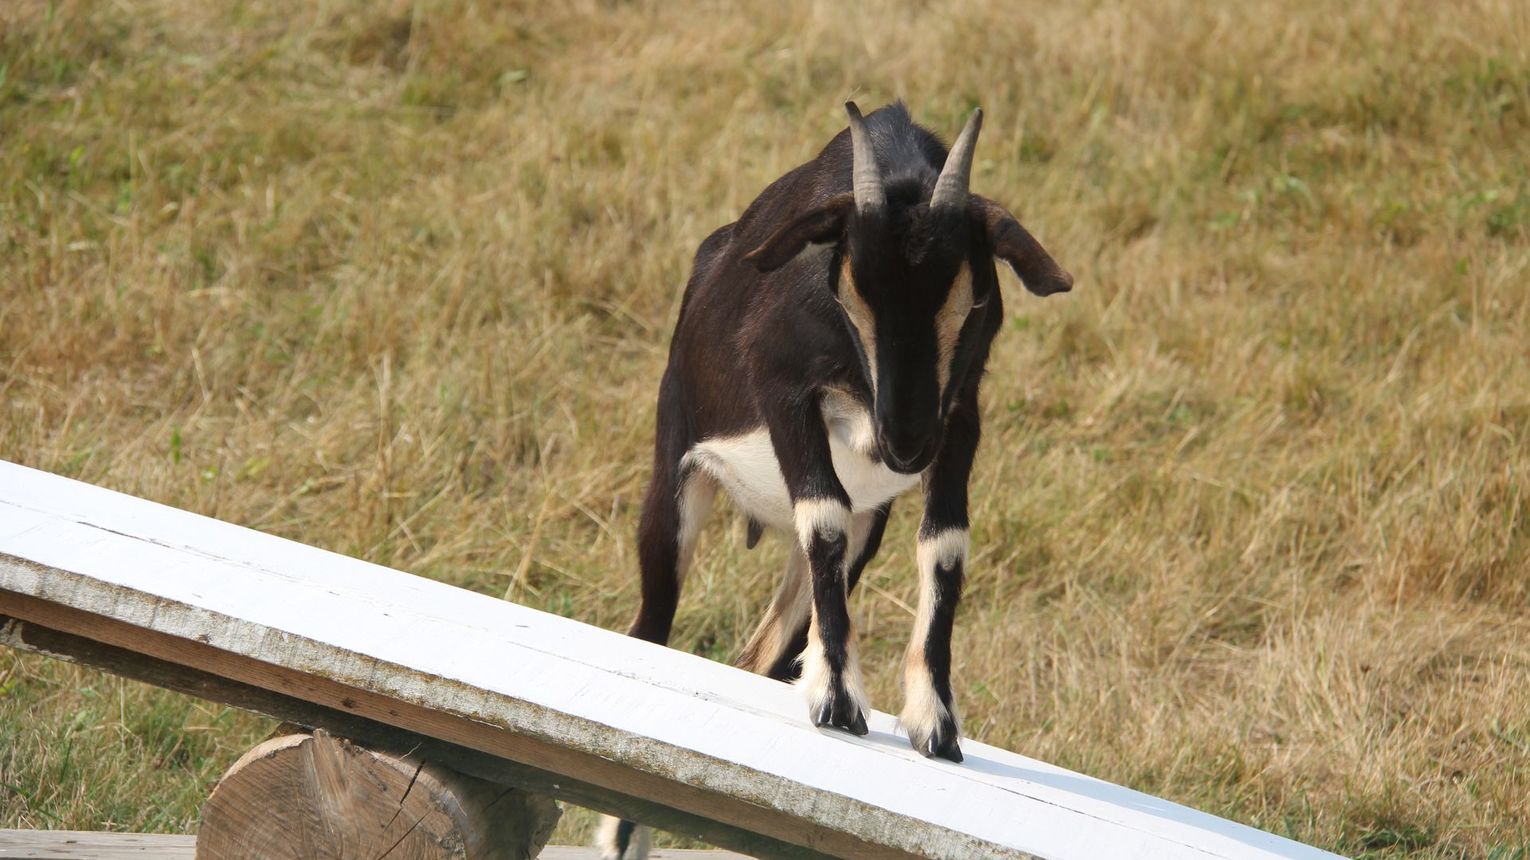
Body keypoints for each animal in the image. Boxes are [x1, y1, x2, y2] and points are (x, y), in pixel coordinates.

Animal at [593, 98, 1064, 856]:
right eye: (852, 291)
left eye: (967, 300)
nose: (903, 442)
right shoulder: (784, 389)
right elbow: (824, 515)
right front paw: (840, 700)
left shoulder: (960, 418)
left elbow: (945, 546)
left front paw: (934, 721)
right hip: (675, 479)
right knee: (650, 627)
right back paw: (619, 833)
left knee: (760, 651)